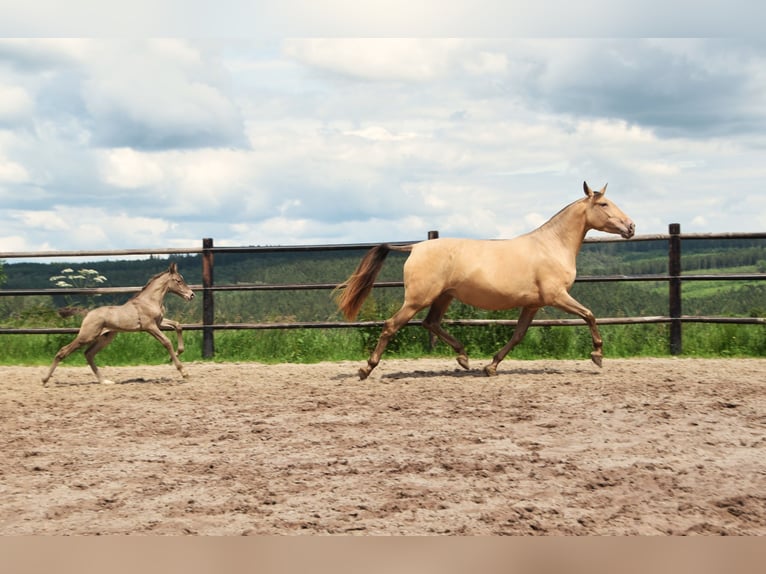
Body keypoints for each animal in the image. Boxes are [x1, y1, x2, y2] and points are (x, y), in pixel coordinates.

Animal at [42, 264, 196, 388]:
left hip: (105, 338)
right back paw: (44, 380)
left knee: (89, 354)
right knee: (63, 351)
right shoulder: (150, 326)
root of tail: (88, 313)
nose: (191, 295)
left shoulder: (159, 322)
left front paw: (178, 352)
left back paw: (105, 381)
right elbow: (167, 342)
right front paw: (184, 372)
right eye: (178, 281)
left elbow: (178, 326)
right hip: (87, 336)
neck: (150, 300)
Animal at [336, 184, 636, 380]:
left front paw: (491, 366)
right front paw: (597, 355)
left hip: (444, 296)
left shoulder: (533, 305)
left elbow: (517, 336)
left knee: (430, 323)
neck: (551, 246)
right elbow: (589, 315)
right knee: (391, 326)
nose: (631, 227)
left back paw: (464, 358)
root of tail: (415, 247)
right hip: (417, 299)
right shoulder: (556, 297)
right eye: (604, 204)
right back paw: (366, 369)